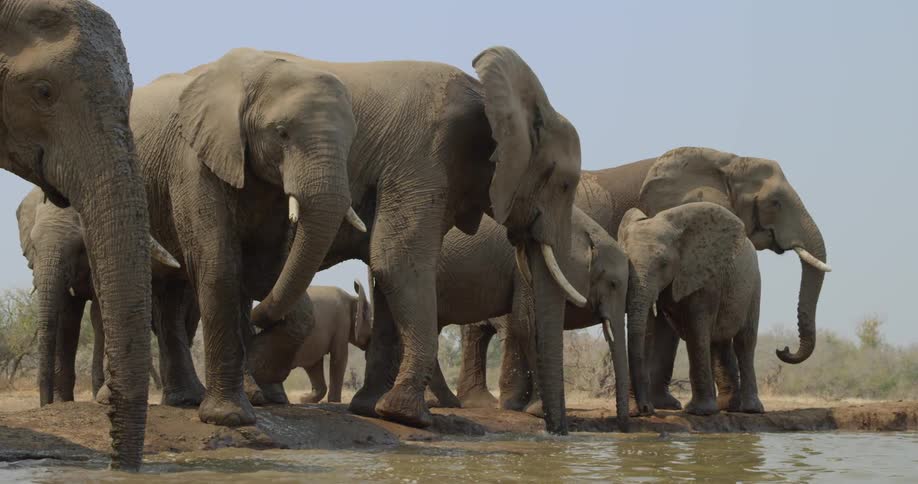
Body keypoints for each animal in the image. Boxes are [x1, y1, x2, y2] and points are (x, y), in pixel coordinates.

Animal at [131, 48, 365, 427]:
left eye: (351, 142)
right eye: (282, 133)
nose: (261, 320)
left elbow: (265, 272)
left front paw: (255, 371)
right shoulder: (193, 161)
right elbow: (220, 267)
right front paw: (229, 417)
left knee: (171, 295)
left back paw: (191, 398)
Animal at [252, 46, 584, 433]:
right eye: (565, 185)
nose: (556, 431)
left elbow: (385, 273)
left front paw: (370, 408)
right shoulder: (423, 155)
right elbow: (397, 260)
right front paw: (408, 415)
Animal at [423, 207, 630, 428]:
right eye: (613, 284)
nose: (621, 426)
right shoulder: (526, 265)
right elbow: (530, 324)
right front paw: (538, 411)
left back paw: (445, 402)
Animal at [618, 202, 763, 415]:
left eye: (664, 264)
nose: (645, 409)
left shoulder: (706, 277)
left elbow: (696, 329)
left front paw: (699, 412)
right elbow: (648, 331)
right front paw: (635, 412)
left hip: (753, 287)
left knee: (744, 341)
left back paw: (751, 409)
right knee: (719, 342)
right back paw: (728, 407)